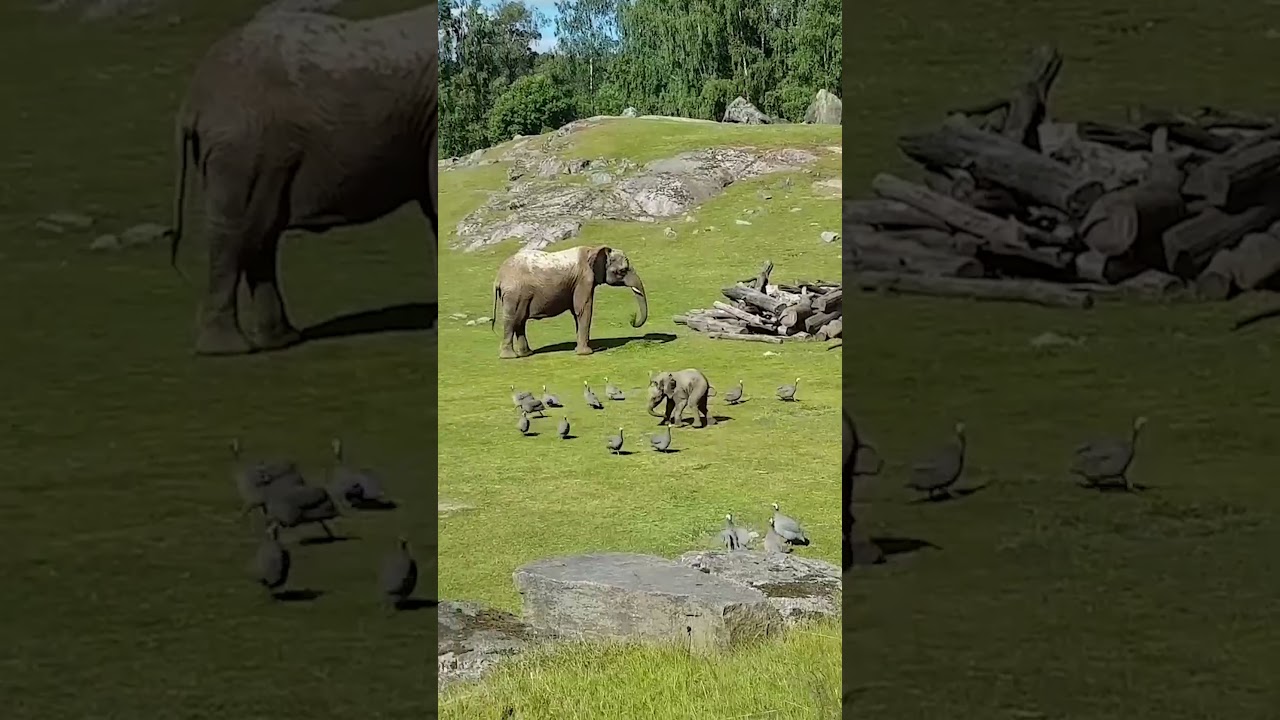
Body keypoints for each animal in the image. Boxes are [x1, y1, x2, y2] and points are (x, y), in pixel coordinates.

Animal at [165, 5, 438, 356]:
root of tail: (193, 100)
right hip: (245, 149)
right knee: (237, 234)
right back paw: (229, 349)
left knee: (260, 237)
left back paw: (279, 340)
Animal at [490, 245, 648, 358]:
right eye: (623, 271)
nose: (632, 319)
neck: (593, 250)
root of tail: (498, 278)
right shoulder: (584, 280)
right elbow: (584, 309)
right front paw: (586, 353)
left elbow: (577, 312)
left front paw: (579, 349)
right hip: (514, 294)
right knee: (512, 320)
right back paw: (509, 357)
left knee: (520, 321)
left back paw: (526, 354)